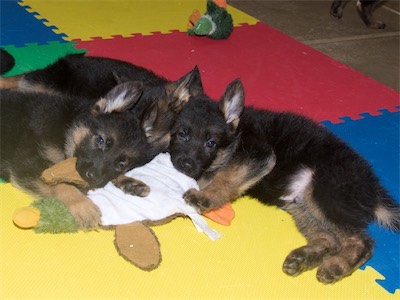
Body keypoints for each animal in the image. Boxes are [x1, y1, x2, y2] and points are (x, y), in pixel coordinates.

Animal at [0, 81, 170, 229]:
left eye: (121, 164)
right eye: (101, 140)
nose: (92, 176)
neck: (65, 128)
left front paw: (128, 181)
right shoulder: (28, 164)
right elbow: (62, 185)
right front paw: (83, 206)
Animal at [168, 78, 400, 282]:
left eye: (211, 143)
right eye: (182, 134)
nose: (185, 165)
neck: (237, 133)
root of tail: (373, 188)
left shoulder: (257, 155)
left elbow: (225, 176)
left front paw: (205, 197)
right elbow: (211, 175)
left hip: (325, 194)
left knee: (362, 242)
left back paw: (336, 266)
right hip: (301, 204)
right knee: (329, 239)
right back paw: (303, 259)